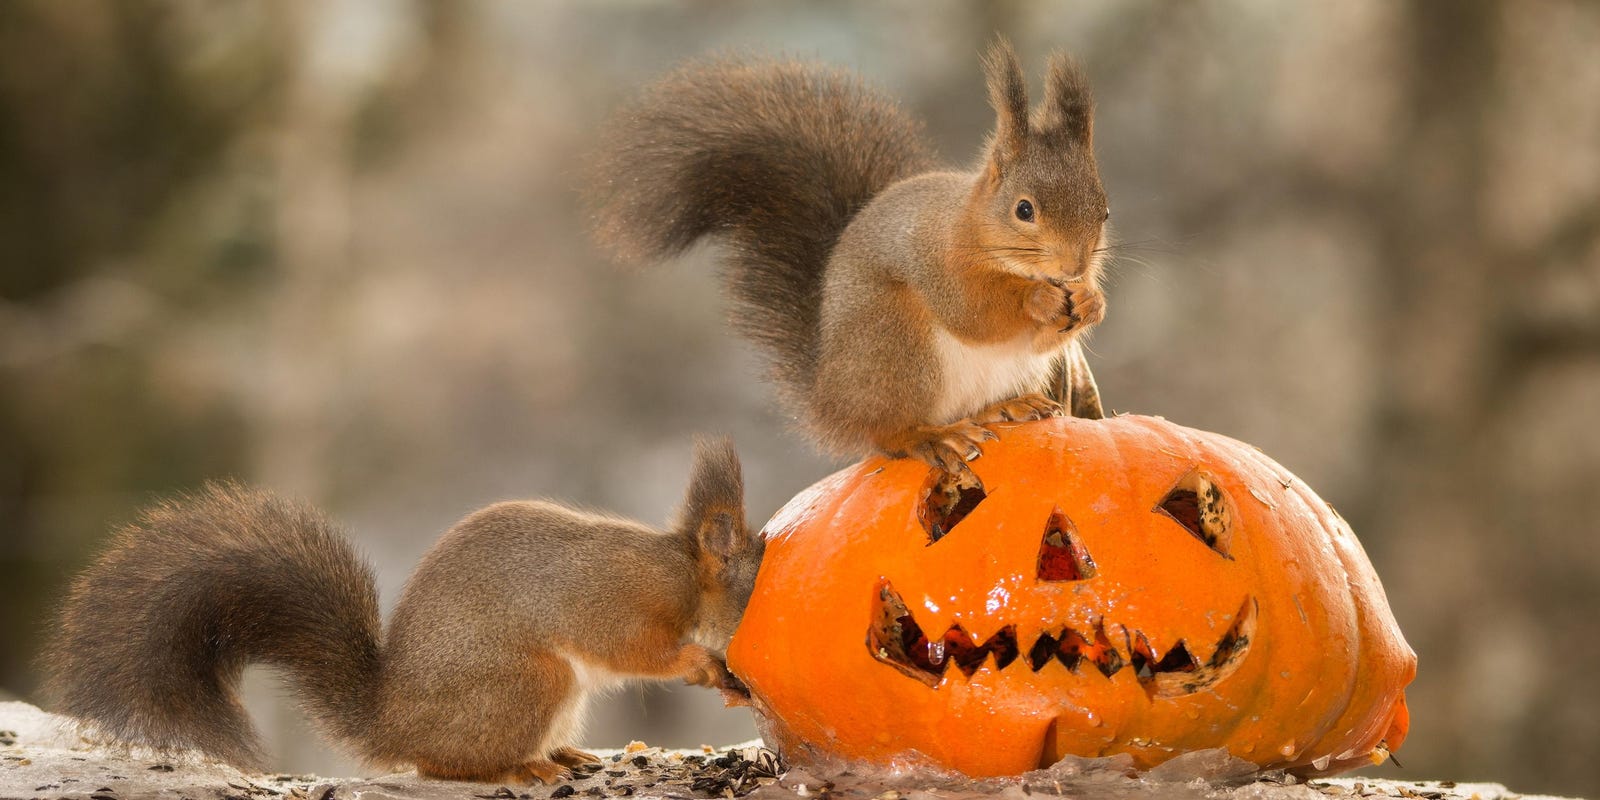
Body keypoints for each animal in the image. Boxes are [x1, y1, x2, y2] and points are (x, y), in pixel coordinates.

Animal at [43, 437, 761, 785]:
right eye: (752, 586)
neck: (679, 572)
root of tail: (392, 722)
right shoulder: (619, 602)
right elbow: (637, 649)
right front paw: (702, 664)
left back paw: (563, 755)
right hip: (530, 682)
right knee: (446, 764)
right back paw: (519, 766)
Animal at [590, 40, 1109, 476]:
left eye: (1103, 209)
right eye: (1024, 209)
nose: (1073, 269)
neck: (975, 225)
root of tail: (830, 402)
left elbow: (1039, 340)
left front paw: (1090, 302)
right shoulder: (937, 261)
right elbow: (974, 312)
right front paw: (1037, 300)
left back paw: (1004, 408)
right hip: (893, 341)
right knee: (889, 433)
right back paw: (931, 437)